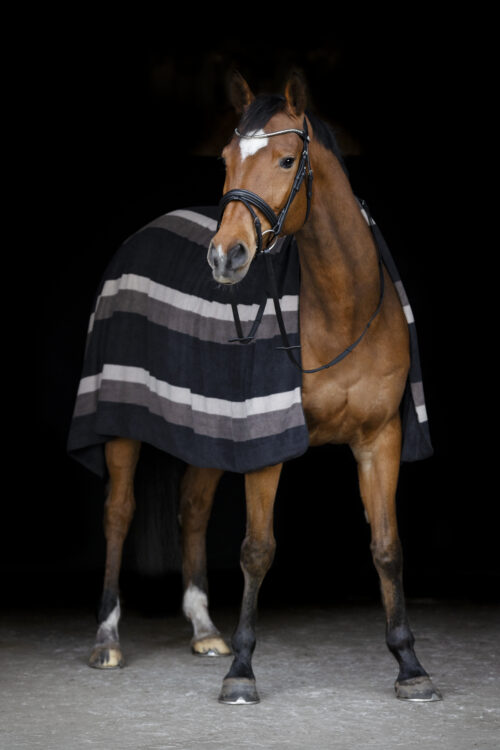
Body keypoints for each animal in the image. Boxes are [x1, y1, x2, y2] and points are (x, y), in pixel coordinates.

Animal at [83, 70, 441, 705]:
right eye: (226, 160)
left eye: (287, 159)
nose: (226, 256)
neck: (343, 307)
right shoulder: (264, 441)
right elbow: (257, 549)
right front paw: (242, 671)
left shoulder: (380, 438)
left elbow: (387, 547)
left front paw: (409, 664)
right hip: (119, 425)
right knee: (118, 513)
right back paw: (108, 638)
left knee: (193, 509)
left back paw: (205, 630)